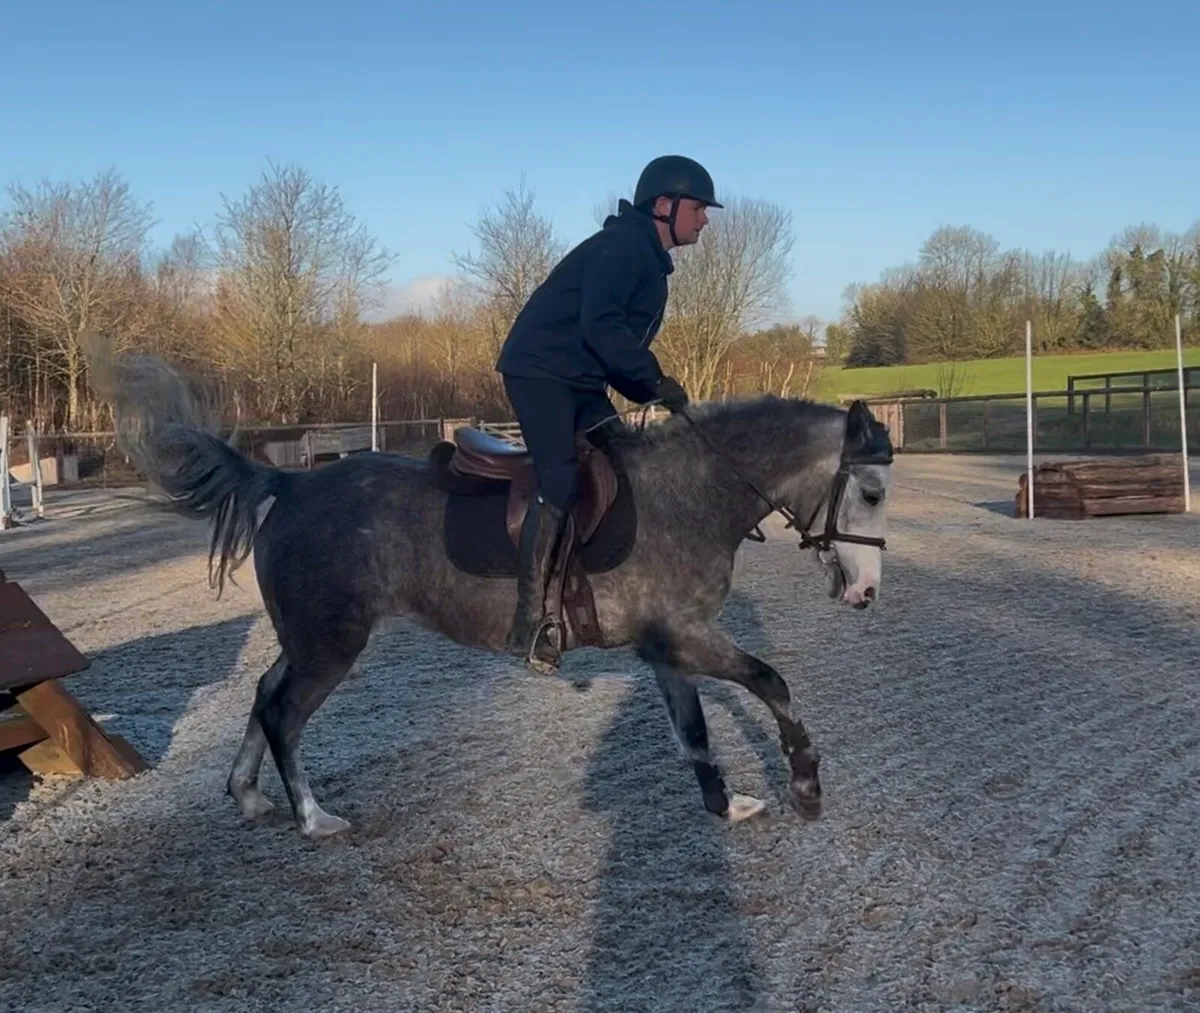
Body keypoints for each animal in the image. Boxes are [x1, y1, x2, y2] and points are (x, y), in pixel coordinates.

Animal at [86, 340, 894, 841]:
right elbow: (772, 682)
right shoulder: (689, 638)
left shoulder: (667, 646)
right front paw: (806, 785)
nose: (866, 594)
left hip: (307, 638)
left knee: (261, 695)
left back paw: (249, 794)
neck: (692, 492)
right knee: (285, 714)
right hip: (330, 647)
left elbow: (694, 732)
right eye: (874, 492)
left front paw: (724, 806)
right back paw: (314, 819)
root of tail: (289, 482)